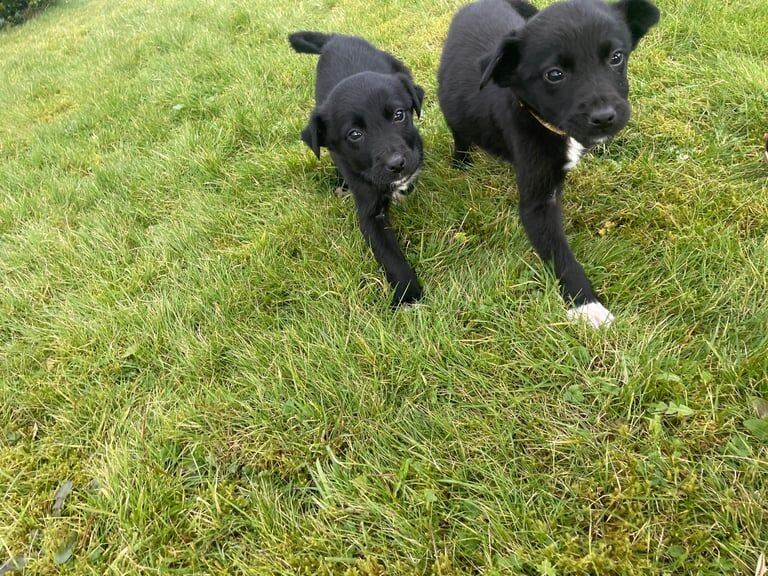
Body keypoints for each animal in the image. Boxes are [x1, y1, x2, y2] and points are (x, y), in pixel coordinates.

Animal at [292, 31, 428, 308]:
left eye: (399, 115)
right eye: (355, 134)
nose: (397, 164)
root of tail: (335, 37)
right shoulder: (369, 213)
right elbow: (388, 255)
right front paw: (408, 294)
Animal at [438, 0, 660, 326]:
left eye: (616, 57)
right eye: (554, 75)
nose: (605, 117)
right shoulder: (538, 203)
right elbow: (560, 255)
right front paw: (587, 306)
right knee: (459, 133)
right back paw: (461, 162)